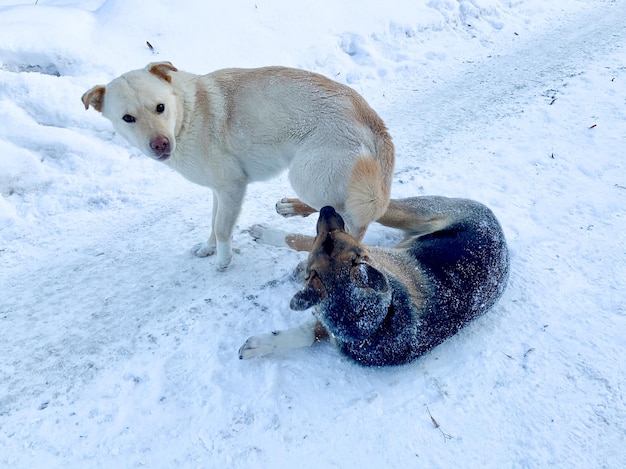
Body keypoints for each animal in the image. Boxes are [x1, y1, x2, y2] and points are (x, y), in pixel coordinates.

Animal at [81, 62, 394, 268]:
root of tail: (375, 123)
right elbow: (213, 222)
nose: (160, 144)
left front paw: (223, 259)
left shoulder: (232, 186)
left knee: (350, 222)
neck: (187, 114)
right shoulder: (218, 191)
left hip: (307, 176)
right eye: (128, 118)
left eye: (160, 107)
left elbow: (222, 228)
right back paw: (291, 208)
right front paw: (208, 248)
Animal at [238, 197, 508, 366]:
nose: (327, 210)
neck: (377, 320)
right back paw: (292, 207)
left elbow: (299, 242)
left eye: (329, 237)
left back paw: (287, 215)